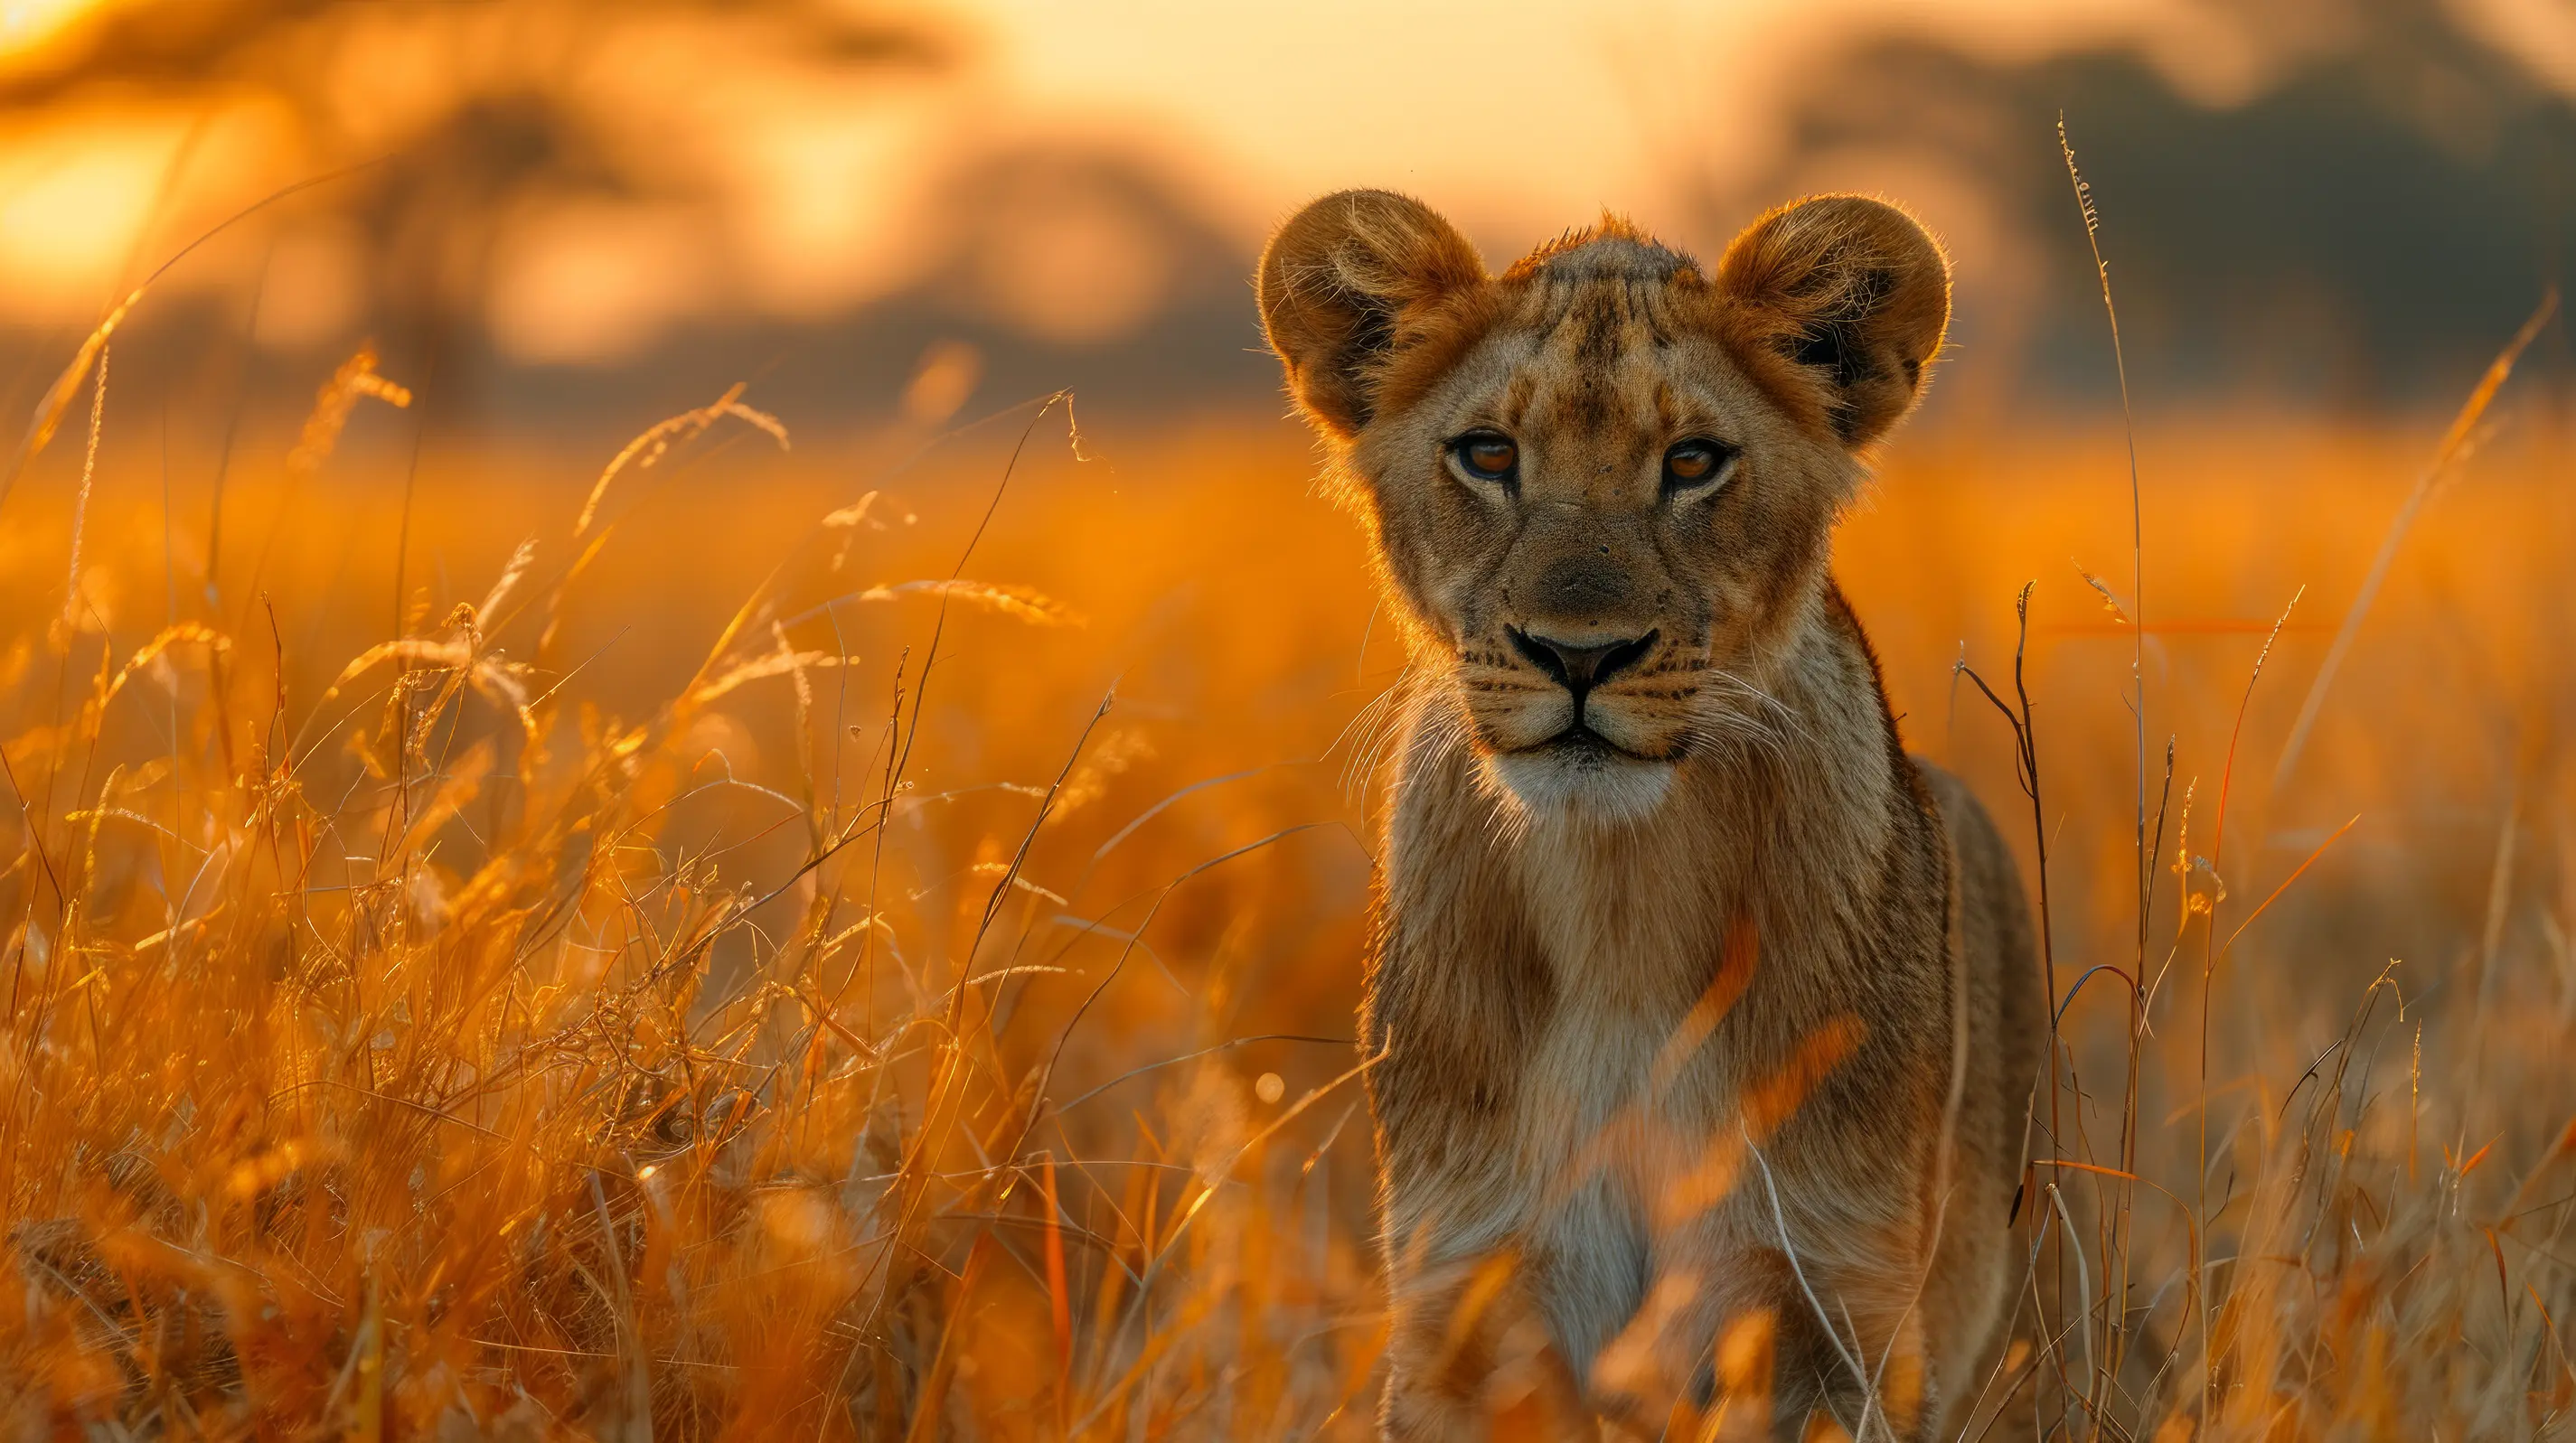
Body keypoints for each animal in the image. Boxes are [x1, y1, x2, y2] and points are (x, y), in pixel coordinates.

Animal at [1255, 191, 2046, 1440]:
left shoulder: (1828, 1306)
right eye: (1489, 454)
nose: (1579, 656)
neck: (1617, 893)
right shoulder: (1466, 1293)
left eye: (1693, 461)